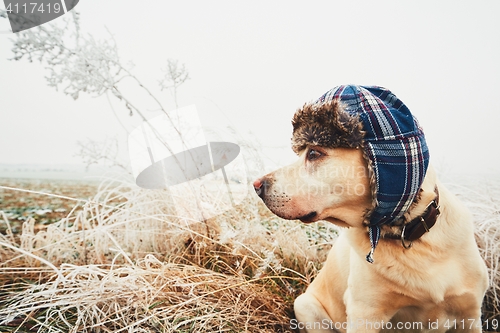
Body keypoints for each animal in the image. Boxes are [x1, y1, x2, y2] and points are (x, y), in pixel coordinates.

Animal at [254, 86, 488, 332]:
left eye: (314, 153)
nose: (257, 185)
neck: (410, 238)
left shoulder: (470, 315)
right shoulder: (365, 314)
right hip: (305, 305)